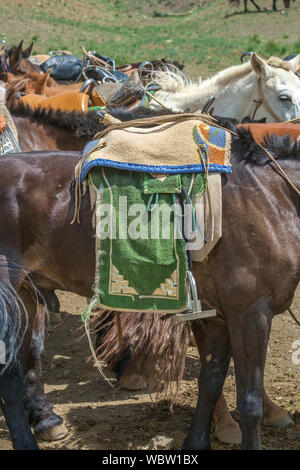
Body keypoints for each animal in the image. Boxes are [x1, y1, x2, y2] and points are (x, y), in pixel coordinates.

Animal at [0, 118, 298, 448]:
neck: (271, 198)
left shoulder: (220, 317)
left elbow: (210, 382)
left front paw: (196, 442)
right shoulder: (251, 314)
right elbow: (249, 403)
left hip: (26, 295)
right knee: (8, 380)